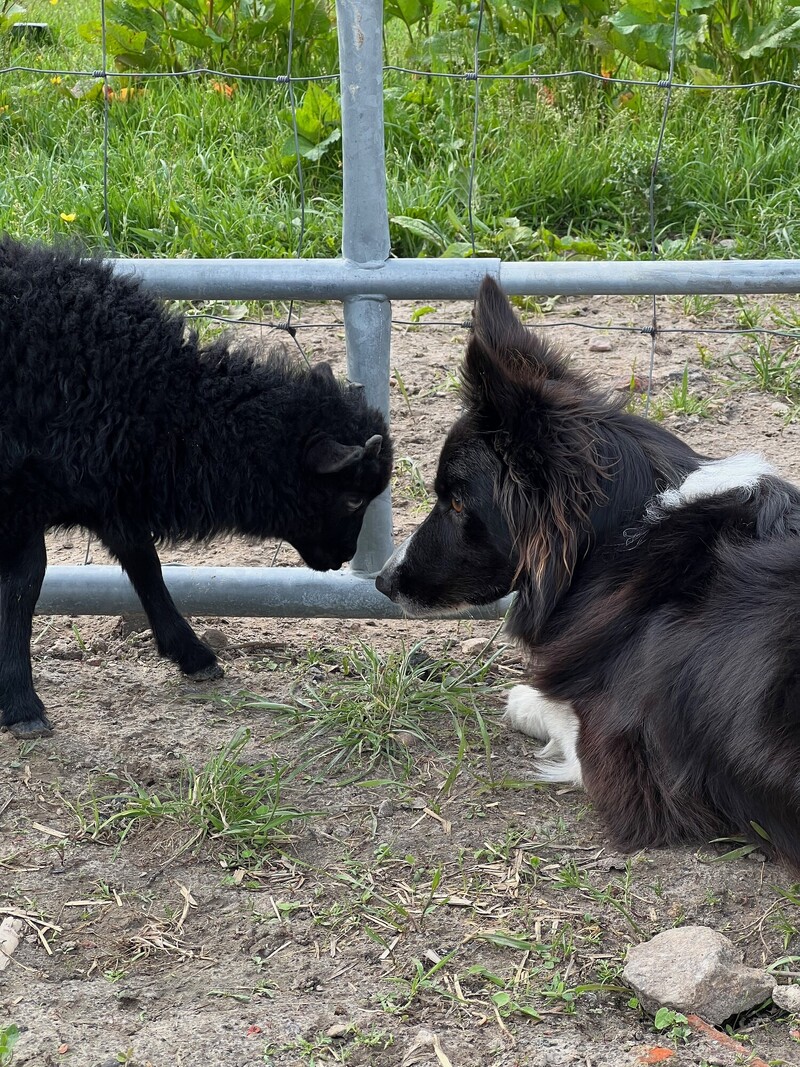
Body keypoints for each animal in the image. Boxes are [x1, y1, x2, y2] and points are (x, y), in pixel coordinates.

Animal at [0, 236, 393, 738]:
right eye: (352, 497)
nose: (344, 557)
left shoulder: (107, 492)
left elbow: (145, 564)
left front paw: (193, 654)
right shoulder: (22, 497)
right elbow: (25, 584)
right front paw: (21, 704)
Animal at [377, 275, 800, 870]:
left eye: (457, 503)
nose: (381, 580)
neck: (624, 542)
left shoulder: (622, 758)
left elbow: (537, 705)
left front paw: (525, 697)